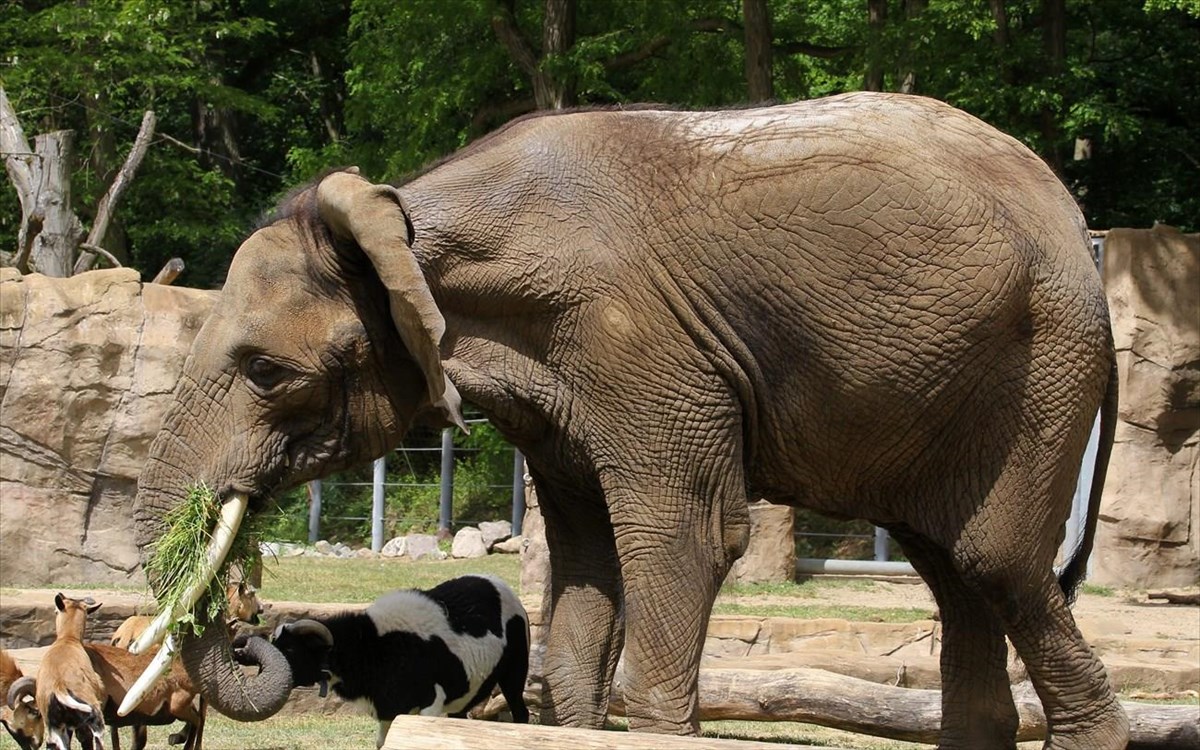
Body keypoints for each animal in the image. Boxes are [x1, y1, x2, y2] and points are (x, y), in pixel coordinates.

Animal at [128, 92, 1127, 749]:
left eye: (265, 372)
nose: (250, 637)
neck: (409, 216)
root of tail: (1081, 231)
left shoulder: (643, 346)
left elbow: (686, 540)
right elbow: (584, 570)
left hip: (1040, 365)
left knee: (996, 564)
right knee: (953, 569)